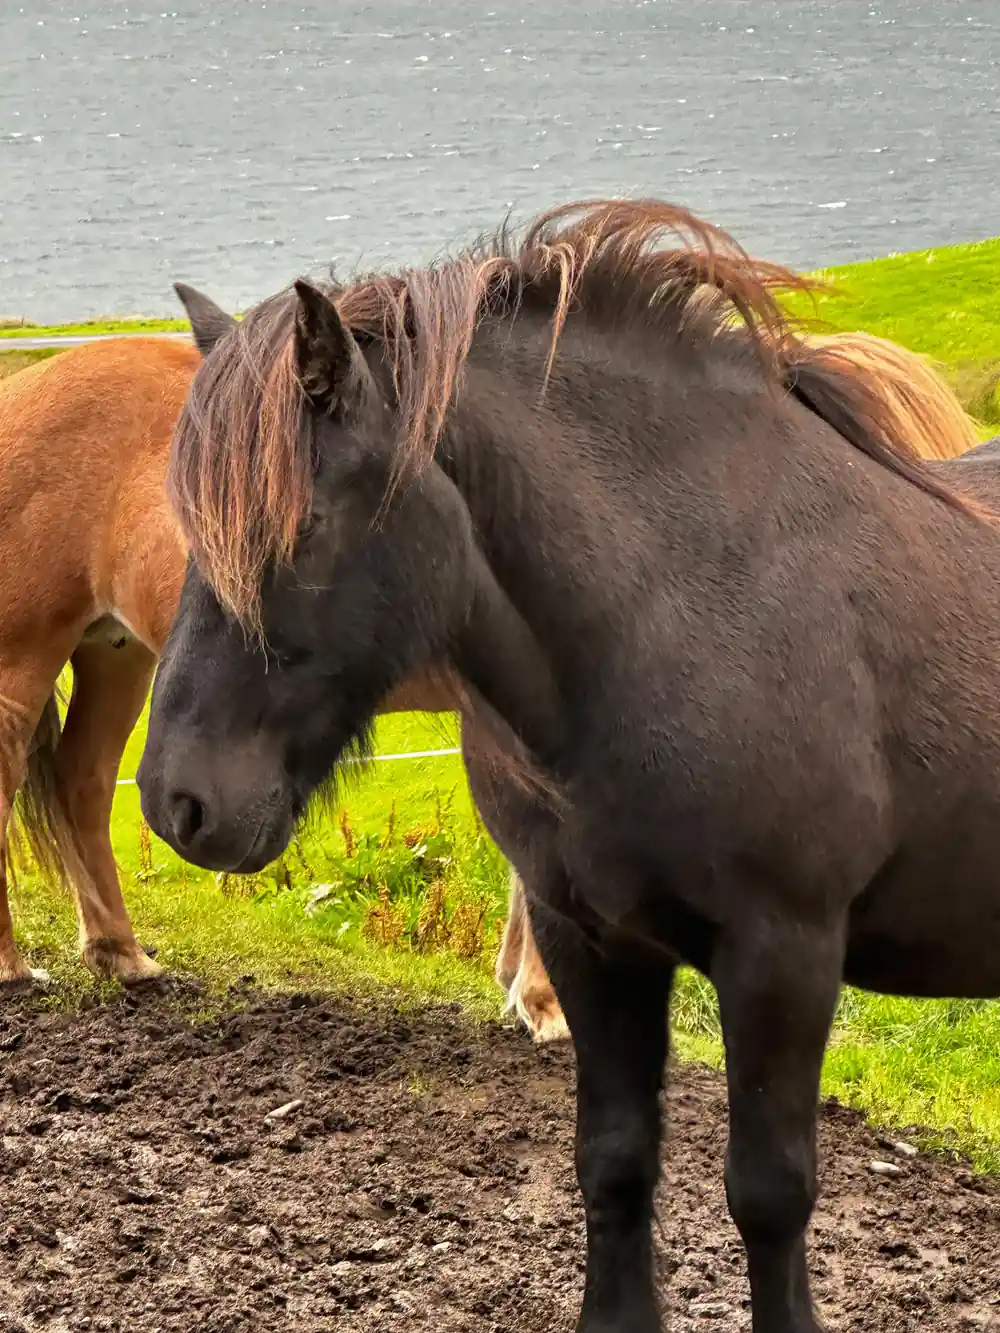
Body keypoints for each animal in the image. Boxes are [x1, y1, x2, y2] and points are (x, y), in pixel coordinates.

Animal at [135, 195, 996, 1333]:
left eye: (302, 523)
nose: (176, 800)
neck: (687, 601)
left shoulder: (785, 952)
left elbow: (770, 1192)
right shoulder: (586, 938)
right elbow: (614, 1163)